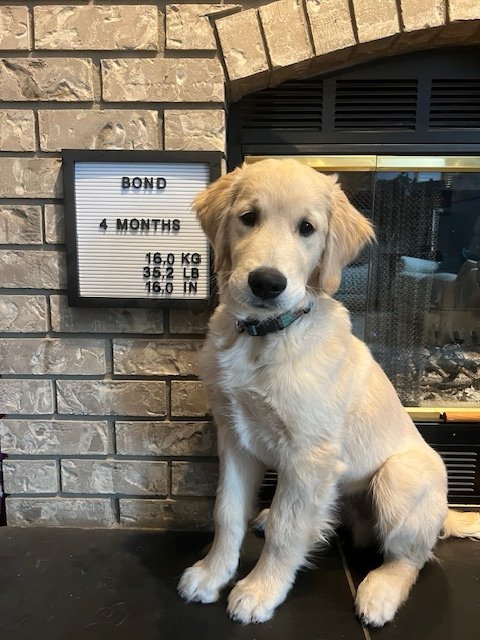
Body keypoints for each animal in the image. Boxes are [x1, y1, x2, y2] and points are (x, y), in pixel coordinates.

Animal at [178, 158, 480, 627]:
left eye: (307, 228)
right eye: (248, 217)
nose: (267, 283)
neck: (267, 335)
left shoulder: (309, 454)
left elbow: (287, 530)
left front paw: (260, 590)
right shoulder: (234, 437)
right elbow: (226, 511)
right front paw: (213, 573)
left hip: (399, 477)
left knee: (411, 558)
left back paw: (380, 592)